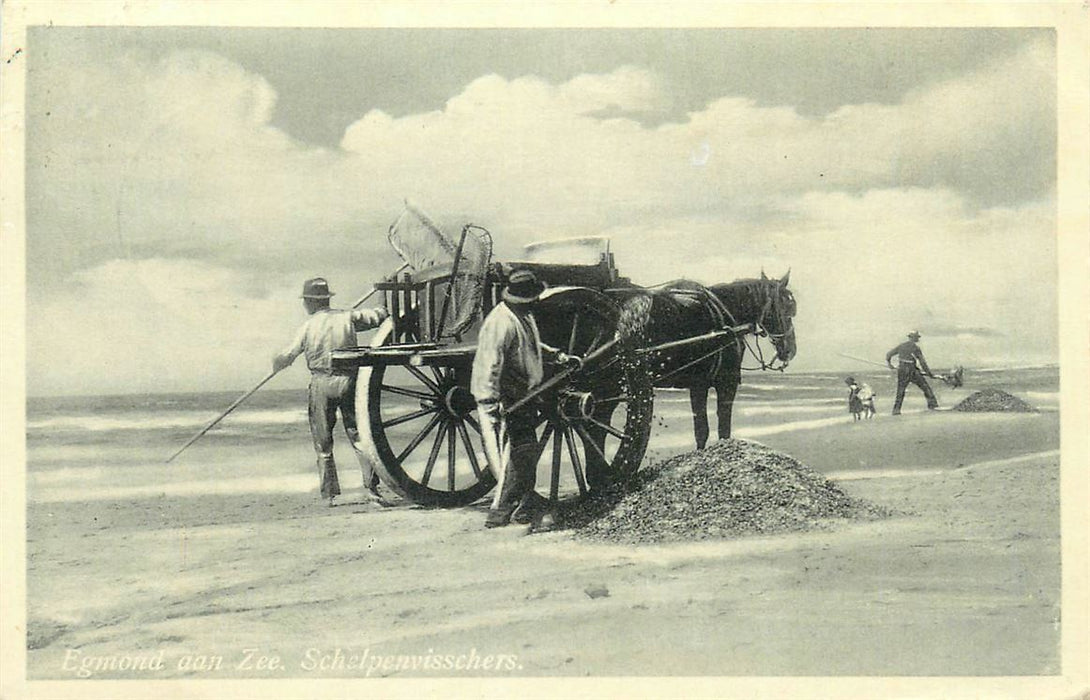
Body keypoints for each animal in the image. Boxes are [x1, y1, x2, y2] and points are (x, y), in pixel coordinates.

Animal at [627, 270, 797, 449]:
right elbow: (717, 431)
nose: (791, 350)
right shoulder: (722, 384)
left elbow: (702, 430)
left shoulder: (698, 386)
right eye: (788, 308)